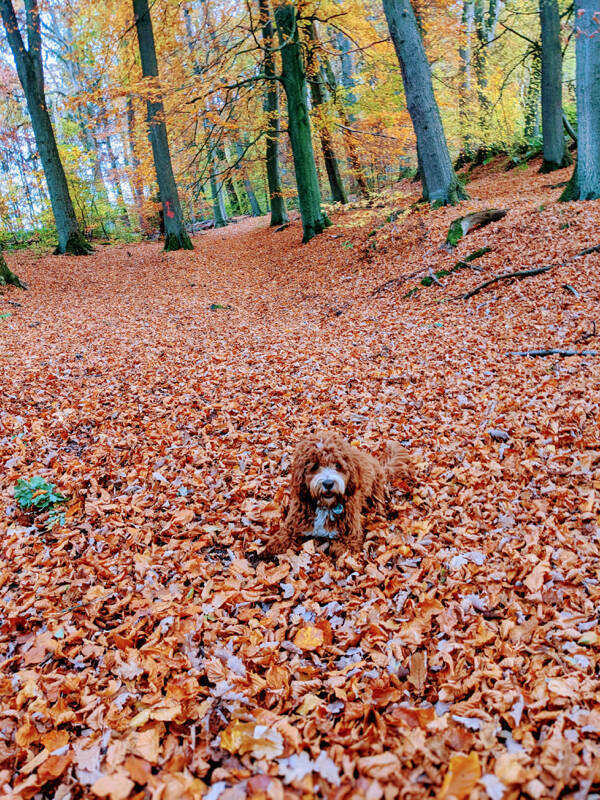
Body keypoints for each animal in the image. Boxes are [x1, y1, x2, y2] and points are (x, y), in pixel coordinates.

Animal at [264, 434, 410, 560]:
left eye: (338, 465)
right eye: (314, 466)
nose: (328, 483)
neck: (325, 505)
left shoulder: (351, 535)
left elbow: (340, 549)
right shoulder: (294, 524)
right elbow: (283, 535)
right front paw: (272, 547)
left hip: (376, 488)